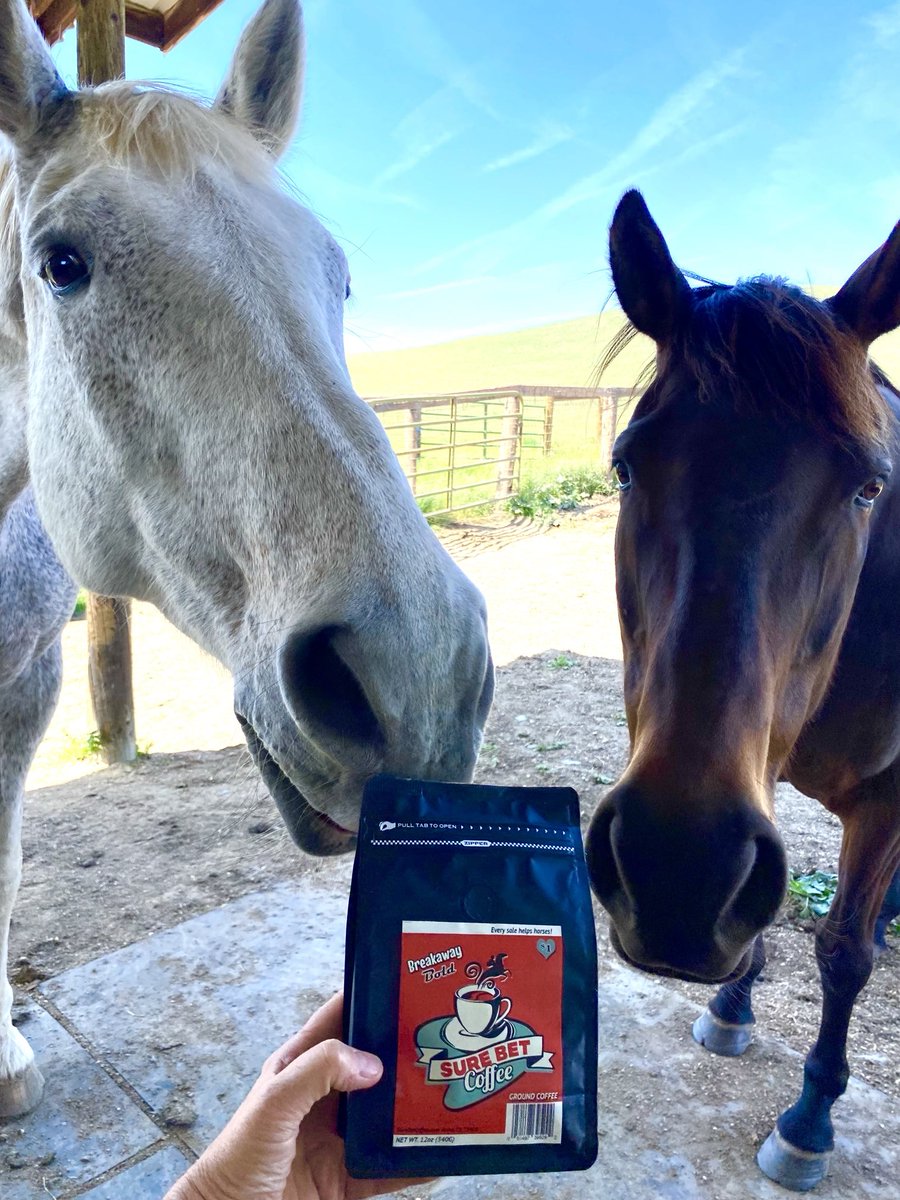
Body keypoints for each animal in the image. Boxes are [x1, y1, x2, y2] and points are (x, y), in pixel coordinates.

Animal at [586, 189, 900, 1190]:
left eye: (869, 488)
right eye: (626, 465)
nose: (676, 873)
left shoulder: (889, 800)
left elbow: (841, 952)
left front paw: (809, 1119)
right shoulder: (763, 774)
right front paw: (732, 1006)